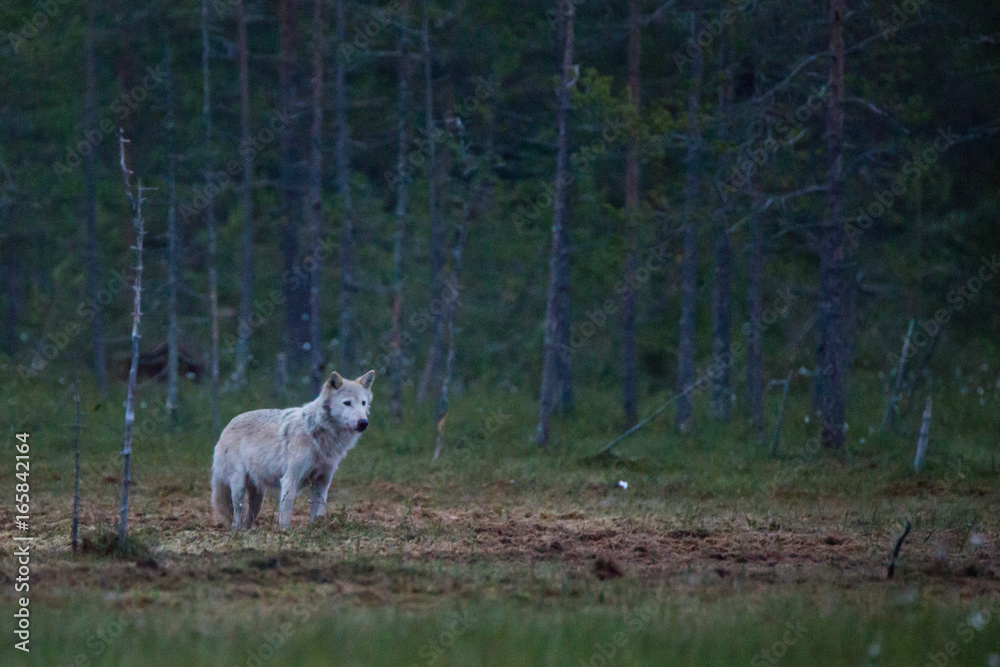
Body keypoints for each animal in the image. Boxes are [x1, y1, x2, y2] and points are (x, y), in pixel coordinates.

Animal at [211, 370, 375, 530]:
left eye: (363, 403)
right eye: (347, 403)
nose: (363, 422)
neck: (319, 434)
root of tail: (227, 426)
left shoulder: (322, 483)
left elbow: (317, 515)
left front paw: (316, 531)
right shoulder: (290, 481)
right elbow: (285, 516)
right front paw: (284, 533)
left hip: (258, 498)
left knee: (248, 520)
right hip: (239, 489)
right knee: (236, 518)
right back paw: (237, 532)